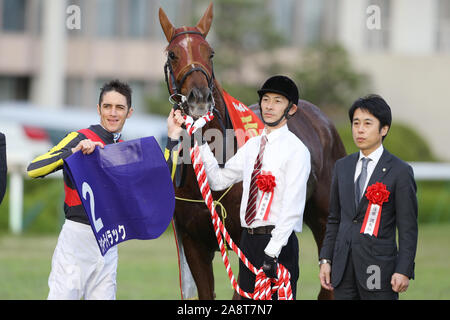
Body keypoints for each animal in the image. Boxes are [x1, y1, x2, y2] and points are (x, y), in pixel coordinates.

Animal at [158, 2, 344, 298]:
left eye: (210, 52)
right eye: (173, 54)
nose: (200, 98)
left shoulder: (246, 247)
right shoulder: (193, 244)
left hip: (324, 219)